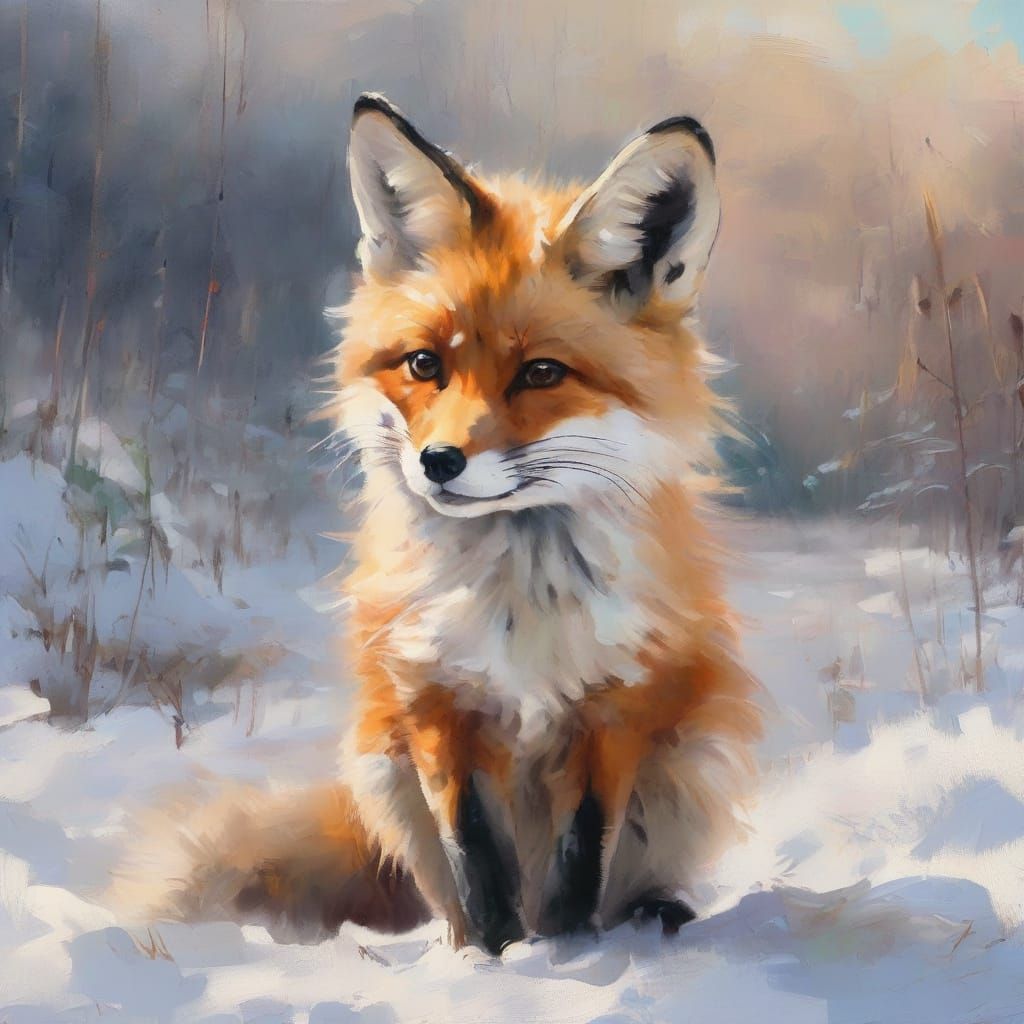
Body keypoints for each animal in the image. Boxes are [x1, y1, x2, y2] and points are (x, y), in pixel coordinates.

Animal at [122, 94, 762, 956]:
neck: (518, 603)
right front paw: (495, 959)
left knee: (636, 873)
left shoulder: (616, 707)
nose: (439, 462)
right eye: (426, 365)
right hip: (379, 763)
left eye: (541, 373)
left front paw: (568, 956)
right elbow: (476, 859)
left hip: (692, 758)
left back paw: (652, 916)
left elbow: (581, 858)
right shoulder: (432, 705)